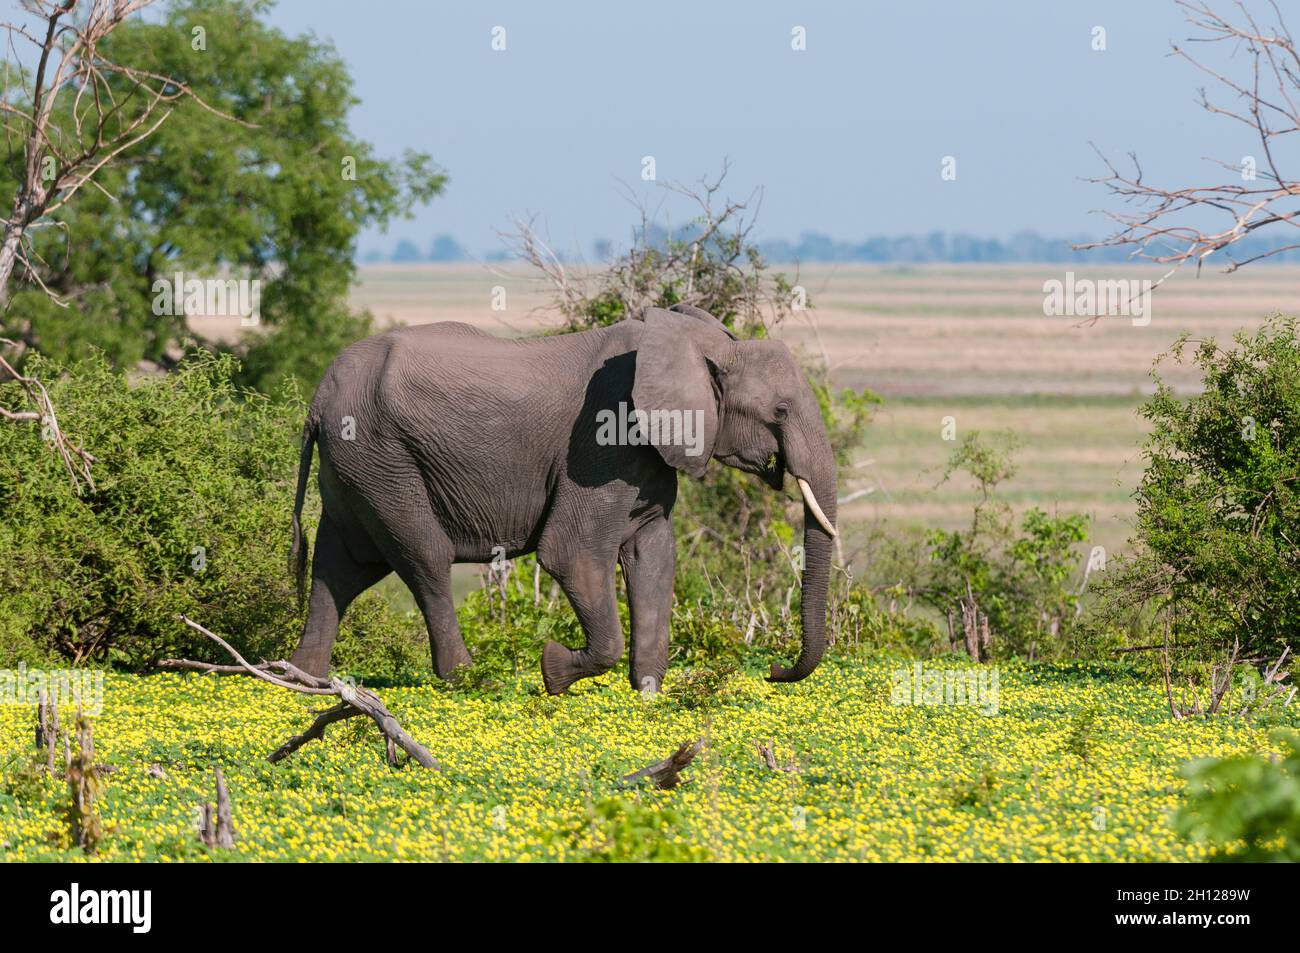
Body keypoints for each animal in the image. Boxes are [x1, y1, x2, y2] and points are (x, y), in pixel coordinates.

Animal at [288, 302, 837, 691]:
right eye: (781, 412)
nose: (773, 671)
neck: (701, 344)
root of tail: (317, 399)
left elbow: (654, 555)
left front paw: (649, 694)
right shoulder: (602, 442)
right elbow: (572, 555)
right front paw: (553, 671)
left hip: (356, 466)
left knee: (341, 565)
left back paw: (302, 677)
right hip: (382, 457)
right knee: (424, 558)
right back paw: (470, 680)